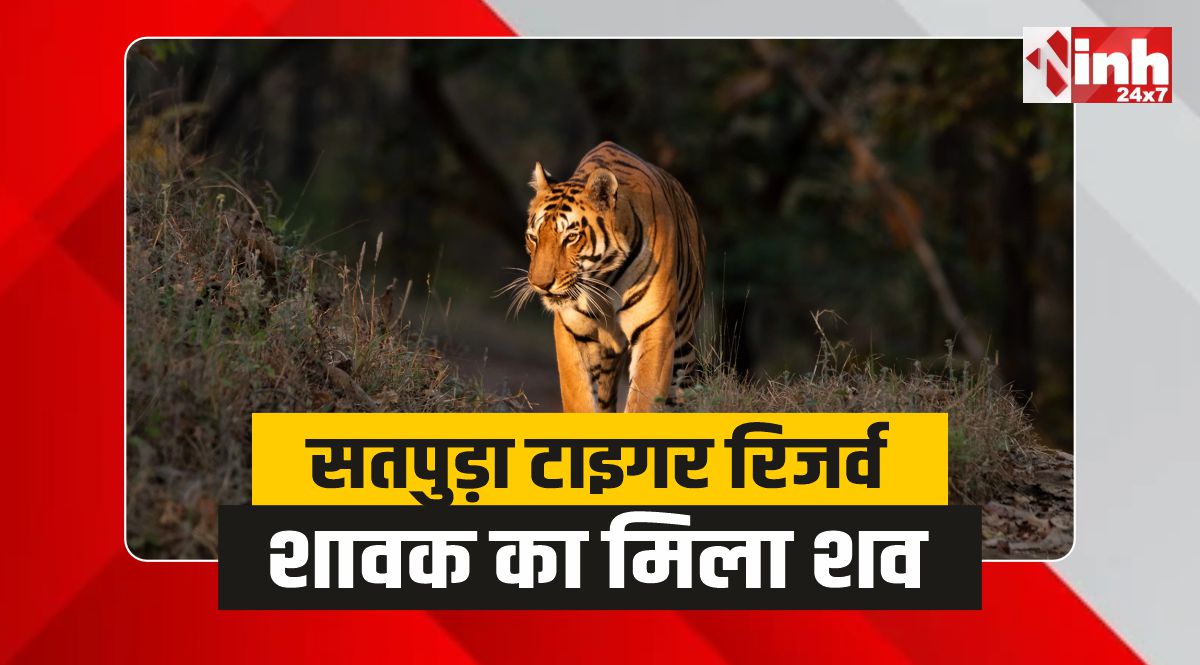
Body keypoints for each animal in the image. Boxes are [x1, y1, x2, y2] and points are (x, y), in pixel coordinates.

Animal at [508, 141, 706, 412]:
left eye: (571, 237)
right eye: (533, 237)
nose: (540, 284)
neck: (603, 282)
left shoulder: (655, 328)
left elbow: (643, 400)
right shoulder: (572, 331)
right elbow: (579, 399)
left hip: (682, 340)